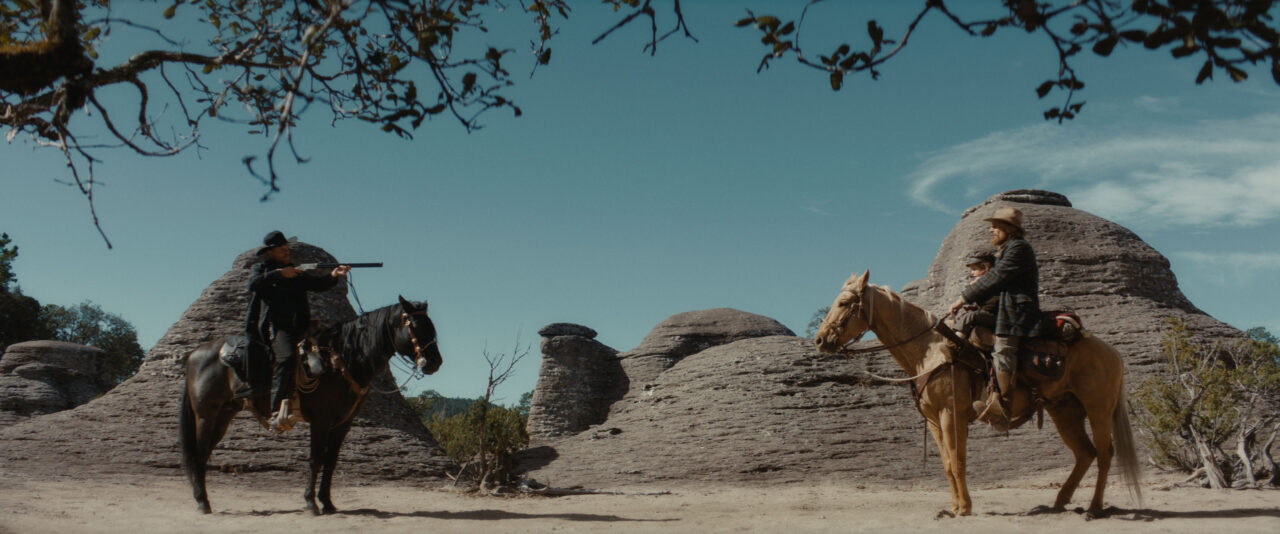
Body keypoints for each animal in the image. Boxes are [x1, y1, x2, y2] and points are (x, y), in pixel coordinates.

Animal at [177, 295, 442, 512]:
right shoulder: (320, 420)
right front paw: (310, 502)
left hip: (223, 416)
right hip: (206, 416)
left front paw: (327, 502)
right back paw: (202, 502)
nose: (434, 362)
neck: (341, 361)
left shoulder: (343, 423)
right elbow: (315, 459)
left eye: (432, 327)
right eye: (415, 326)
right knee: (198, 453)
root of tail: (194, 354)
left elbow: (331, 461)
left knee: (204, 453)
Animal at [814, 270, 1136, 517]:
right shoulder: (934, 420)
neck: (931, 352)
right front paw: (955, 506)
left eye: (844, 302)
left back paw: (1094, 508)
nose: (819, 340)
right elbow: (947, 465)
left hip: (1098, 410)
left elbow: (958, 462)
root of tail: (1113, 353)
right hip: (1064, 412)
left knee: (1105, 454)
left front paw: (965, 508)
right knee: (1085, 454)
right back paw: (1059, 502)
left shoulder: (951, 415)